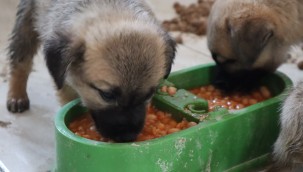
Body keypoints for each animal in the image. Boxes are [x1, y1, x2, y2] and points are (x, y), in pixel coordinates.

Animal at [6, 0, 176, 142]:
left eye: (148, 95)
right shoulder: (65, 79)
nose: (128, 137)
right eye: (107, 95)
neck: (110, 10)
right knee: (20, 61)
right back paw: (17, 96)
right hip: (26, 18)